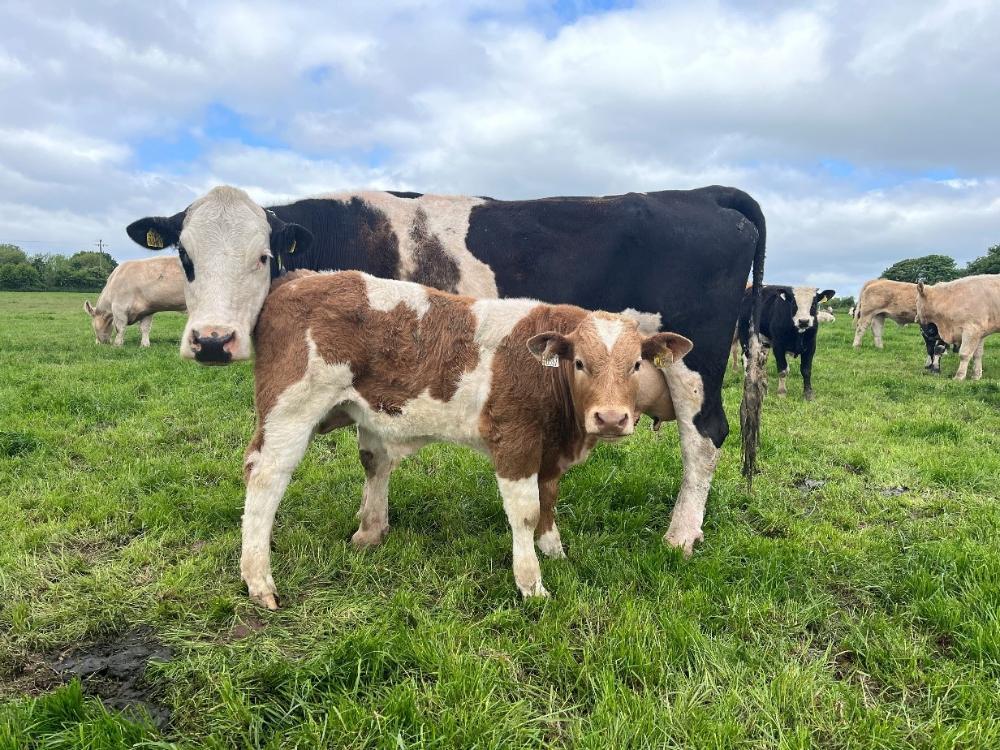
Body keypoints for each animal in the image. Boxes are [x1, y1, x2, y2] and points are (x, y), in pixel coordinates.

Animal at [126, 184, 767, 555]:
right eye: (184, 256)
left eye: (262, 256)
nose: (213, 341)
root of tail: (702, 194)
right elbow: (372, 454)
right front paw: (370, 528)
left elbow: (376, 452)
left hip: (694, 360)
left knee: (705, 437)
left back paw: (680, 534)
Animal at [240, 270, 692, 606]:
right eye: (579, 362)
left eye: (637, 365)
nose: (611, 419)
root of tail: (300, 278)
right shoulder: (515, 441)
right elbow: (526, 512)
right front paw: (532, 584)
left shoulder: (549, 452)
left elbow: (548, 499)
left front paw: (554, 552)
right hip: (290, 409)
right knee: (265, 477)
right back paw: (259, 579)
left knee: (374, 464)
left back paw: (370, 532)